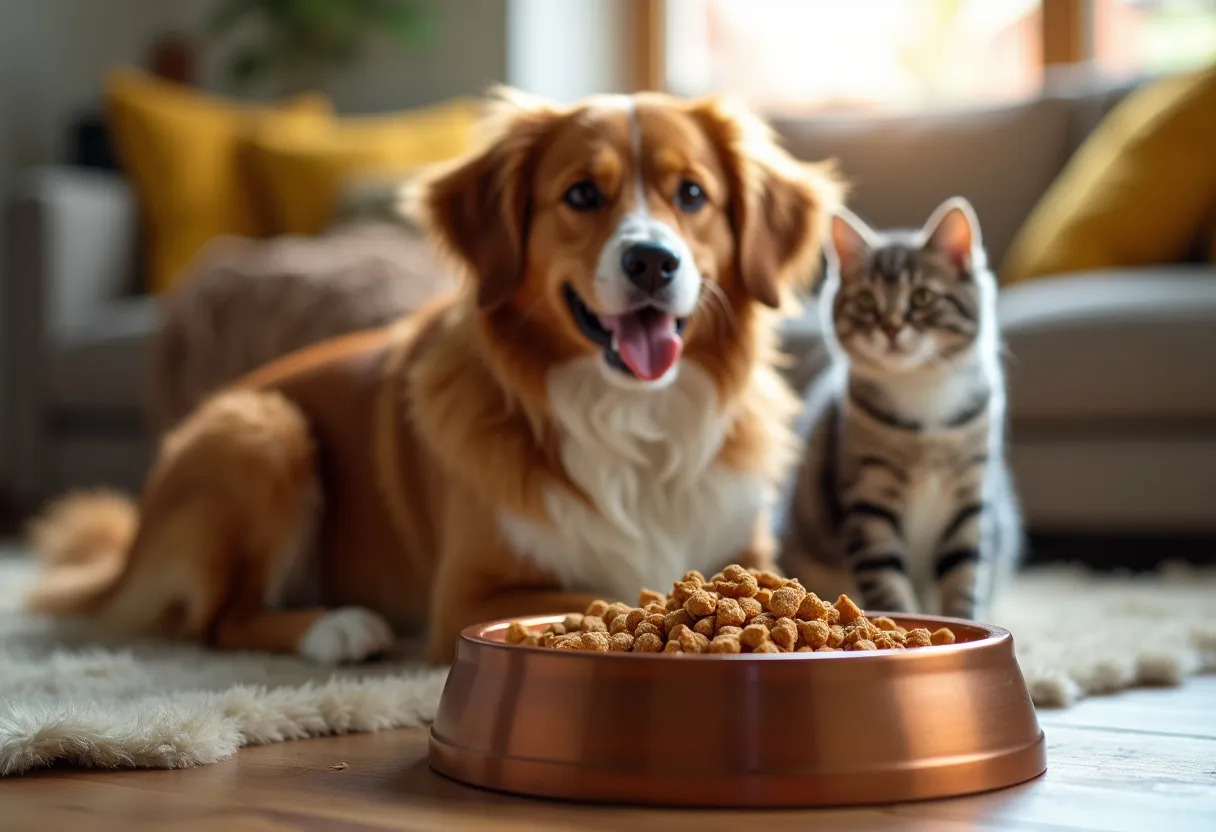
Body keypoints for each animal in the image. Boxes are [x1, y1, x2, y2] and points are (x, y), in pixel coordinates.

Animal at [23, 89, 841, 661]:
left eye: (692, 194)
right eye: (581, 194)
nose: (652, 262)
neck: (634, 419)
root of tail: (131, 546)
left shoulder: (746, 555)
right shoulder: (469, 596)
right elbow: (605, 593)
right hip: (262, 429)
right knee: (215, 623)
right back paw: (340, 629)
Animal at [773, 198, 1021, 620]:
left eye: (922, 297)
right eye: (865, 301)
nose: (890, 327)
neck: (921, 392)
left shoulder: (971, 497)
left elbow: (964, 573)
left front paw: (965, 621)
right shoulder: (869, 500)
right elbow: (886, 579)